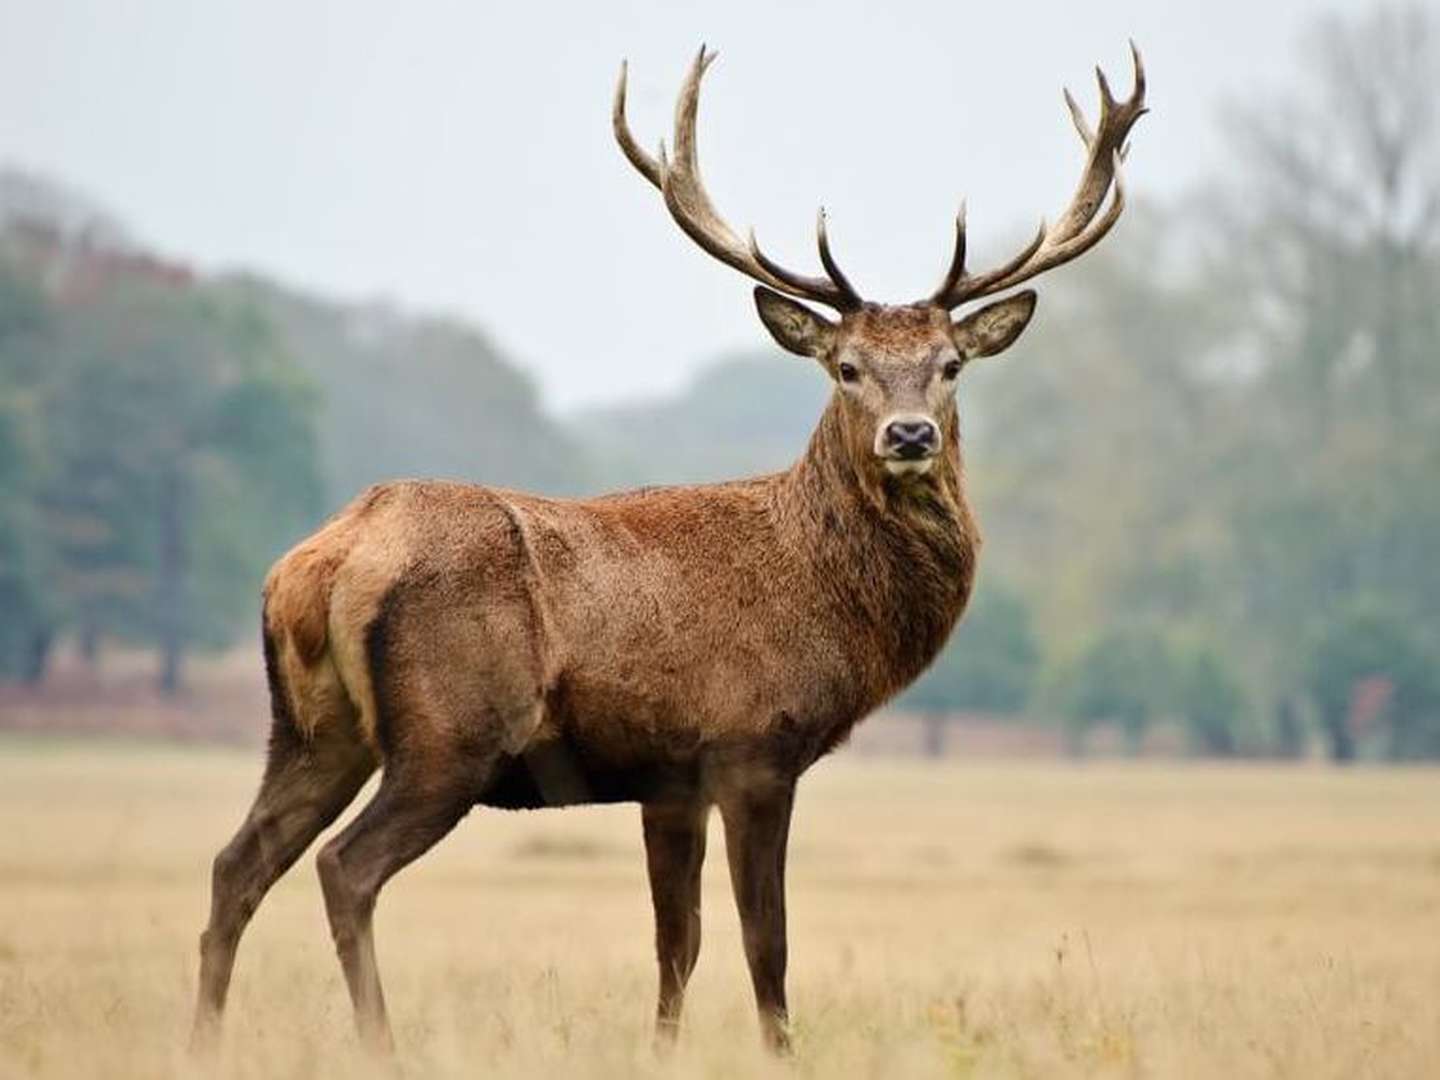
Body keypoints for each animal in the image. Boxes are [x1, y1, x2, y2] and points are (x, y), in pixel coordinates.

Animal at [194, 44, 1146, 1059]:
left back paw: (203, 1039)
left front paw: (663, 1050)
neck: (826, 602)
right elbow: (766, 942)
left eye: (951, 365)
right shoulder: (753, 745)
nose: (910, 434)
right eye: (845, 367)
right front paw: (781, 1055)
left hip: (311, 729)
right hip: (449, 734)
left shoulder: (668, 778)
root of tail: (322, 562)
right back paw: (381, 1043)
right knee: (345, 867)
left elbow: (675, 944)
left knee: (236, 863)